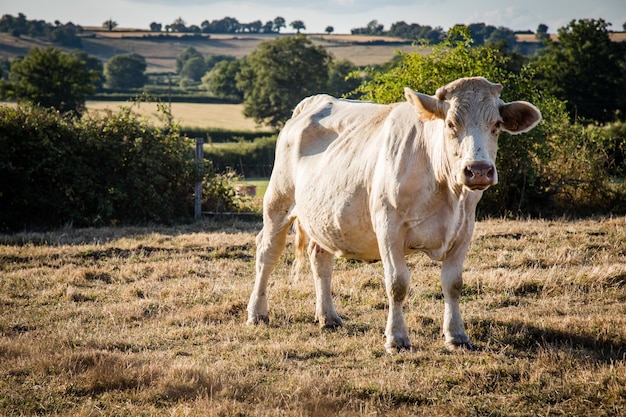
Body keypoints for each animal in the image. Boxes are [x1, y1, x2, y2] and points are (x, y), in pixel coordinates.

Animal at [246, 77, 540, 352]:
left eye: (496, 125)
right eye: (451, 124)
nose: (478, 170)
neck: (444, 188)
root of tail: (315, 101)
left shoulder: (464, 229)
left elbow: (453, 284)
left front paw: (456, 336)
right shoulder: (389, 228)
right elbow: (397, 284)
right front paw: (397, 338)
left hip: (324, 216)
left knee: (320, 259)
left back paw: (328, 317)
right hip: (278, 201)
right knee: (267, 253)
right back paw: (257, 313)